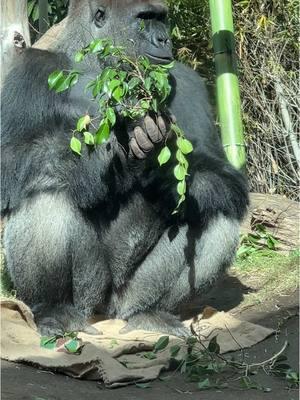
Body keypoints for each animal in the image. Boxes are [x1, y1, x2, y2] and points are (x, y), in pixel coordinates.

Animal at [0, 0, 248, 338]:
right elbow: (10, 159)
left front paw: (163, 170)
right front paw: (110, 148)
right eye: (144, 19)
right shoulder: (29, 70)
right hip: (89, 296)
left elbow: (226, 178)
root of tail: (106, 313)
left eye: (162, 19)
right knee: (44, 189)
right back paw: (54, 309)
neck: (93, 62)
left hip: (124, 297)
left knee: (216, 210)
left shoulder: (187, 80)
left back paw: (150, 312)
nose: (164, 40)